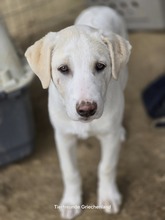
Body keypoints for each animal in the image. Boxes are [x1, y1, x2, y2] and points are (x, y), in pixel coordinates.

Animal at [25, 6, 132, 219]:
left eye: (100, 66)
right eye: (63, 69)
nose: (86, 110)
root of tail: (100, 6)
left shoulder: (109, 136)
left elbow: (106, 167)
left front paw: (108, 197)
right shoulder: (63, 137)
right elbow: (70, 172)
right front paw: (70, 202)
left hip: (123, 75)